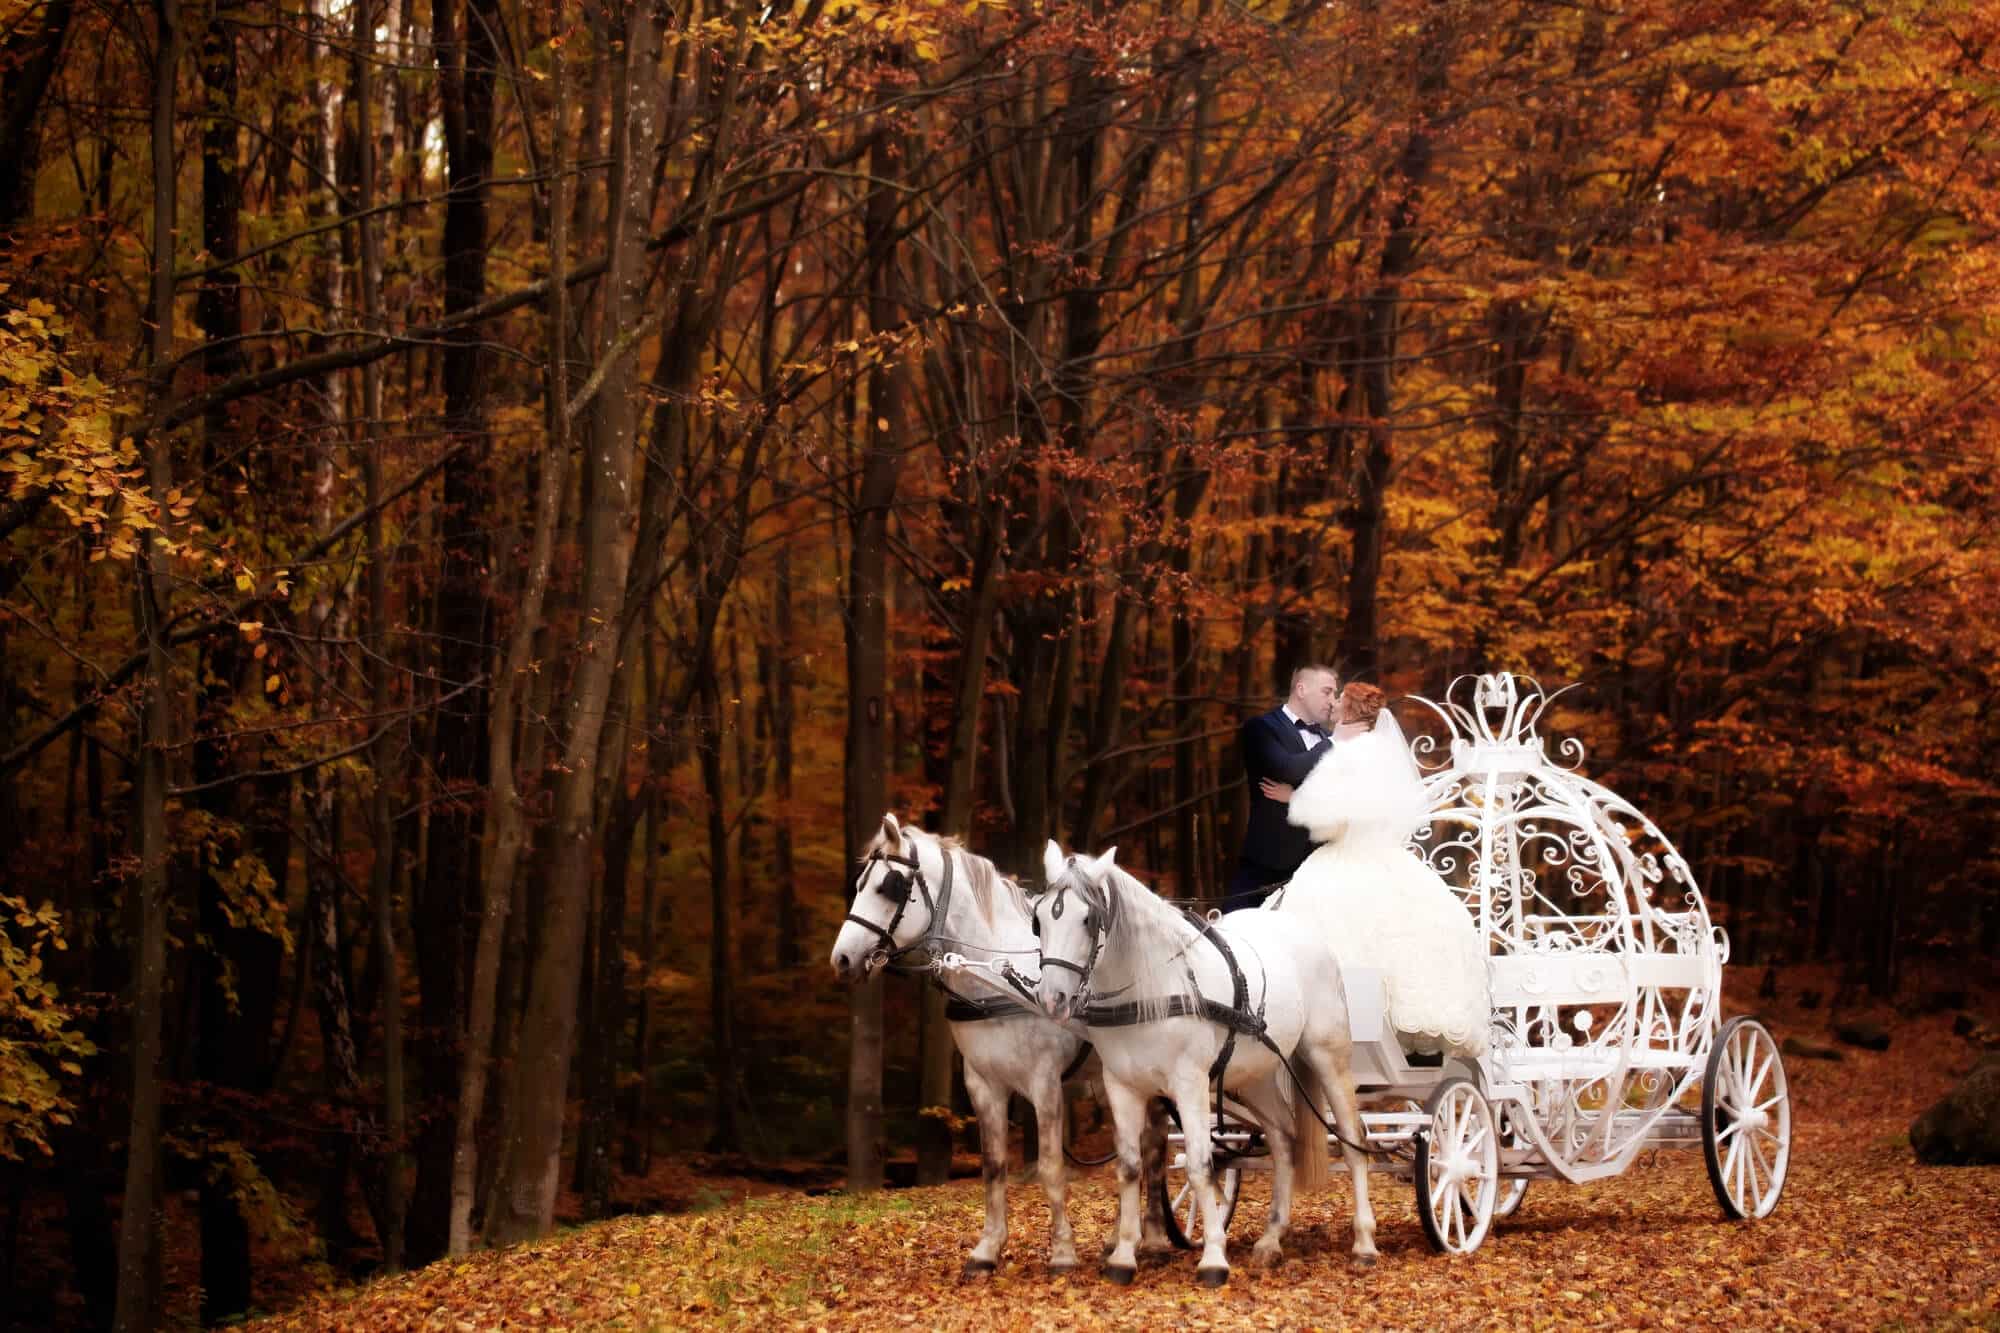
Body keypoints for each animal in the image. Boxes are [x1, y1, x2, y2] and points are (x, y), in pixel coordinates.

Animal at [828, 816, 1144, 1272]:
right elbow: (993, 1166)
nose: (842, 959)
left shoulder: (1045, 1083)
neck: (999, 978)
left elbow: (1050, 1167)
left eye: (889, 887)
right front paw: (988, 1248)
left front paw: (1062, 1252)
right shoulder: (982, 1083)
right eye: (860, 884)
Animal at [1032, 844, 1376, 1280]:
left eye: (1087, 919)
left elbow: (1199, 1166)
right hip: (1255, 1076)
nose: (1052, 998)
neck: (1150, 989)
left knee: (1352, 1141)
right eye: (1040, 919)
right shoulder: (1121, 1086)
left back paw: (1364, 1242)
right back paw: (1271, 1239)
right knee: (1283, 1139)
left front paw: (1213, 1256)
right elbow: (1129, 1167)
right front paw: (1124, 1256)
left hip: (1327, 1056)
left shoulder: (1189, 1084)